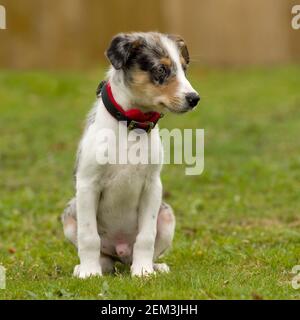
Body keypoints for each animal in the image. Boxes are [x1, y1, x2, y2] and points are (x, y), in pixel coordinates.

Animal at [61, 32, 199, 278]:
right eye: (161, 69)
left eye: (184, 68)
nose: (194, 98)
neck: (132, 125)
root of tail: (121, 251)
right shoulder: (88, 185)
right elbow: (89, 237)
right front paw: (89, 272)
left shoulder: (152, 186)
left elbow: (146, 237)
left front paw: (143, 271)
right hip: (69, 213)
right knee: (104, 257)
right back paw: (90, 267)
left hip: (166, 215)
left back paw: (153, 266)